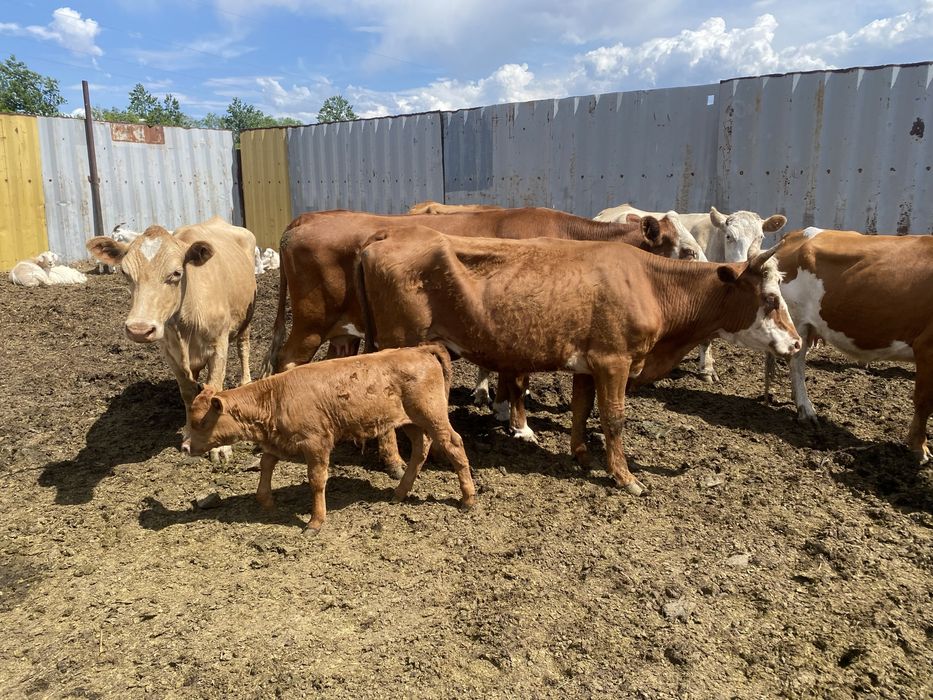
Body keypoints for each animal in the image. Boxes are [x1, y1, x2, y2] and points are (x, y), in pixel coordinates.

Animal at [86, 216, 256, 462]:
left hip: (246, 317)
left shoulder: (219, 345)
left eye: (176, 273)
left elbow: (215, 387)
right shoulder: (170, 352)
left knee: (243, 347)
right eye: (125, 273)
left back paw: (246, 381)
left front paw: (220, 447)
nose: (139, 329)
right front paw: (189, 431)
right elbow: (187, 391)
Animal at [186, 345, 476, 533]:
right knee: (420, 448)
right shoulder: (280, 441)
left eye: (201, 422)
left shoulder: (316, 443)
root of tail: (420, 350)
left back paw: (467, 499)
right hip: (410, 422)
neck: (276, 395)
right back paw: (400, 492)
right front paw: (265, 500)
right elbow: (267, 464)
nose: (185, 446)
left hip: (432, 415)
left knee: (453, 444)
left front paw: (315, 522)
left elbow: (316, 480)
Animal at [357, 224, 801, 495]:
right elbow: (614, 418)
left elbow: (581, 409)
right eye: (770, 298)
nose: (797, 344)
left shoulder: (589, 365)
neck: (649, 284)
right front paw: (624, 476)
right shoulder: (614, 361)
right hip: (397, 346)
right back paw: (394, 462)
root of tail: (384, 236)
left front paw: (583, 456)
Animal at [763, 227, 933, 463]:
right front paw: (919, 447)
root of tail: (798, 233)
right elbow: (924, 401)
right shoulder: (927, 347)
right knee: (796, 364)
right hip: (797, 321)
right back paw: (806, 409)